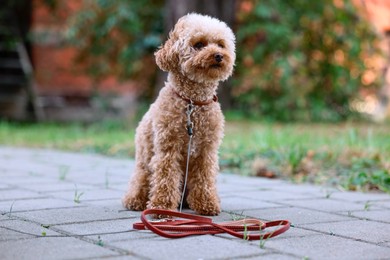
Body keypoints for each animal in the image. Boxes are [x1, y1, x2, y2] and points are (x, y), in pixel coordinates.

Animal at [123, 12, 236, 215]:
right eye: (199, 44)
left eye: (220, 44)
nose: (218, 56)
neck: (193, 103)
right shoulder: (168, 148)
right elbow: (165, 178)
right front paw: (161, 207)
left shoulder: (207, 151)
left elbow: (204, 177)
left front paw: (206, 203)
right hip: (144, 167)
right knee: (141, 182)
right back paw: (135, 200)